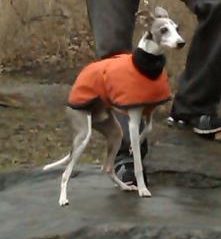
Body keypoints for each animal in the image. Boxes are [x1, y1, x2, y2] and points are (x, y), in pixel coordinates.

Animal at [43, 6, 185, 206]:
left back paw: (125, 186)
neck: (146, 66)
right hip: (83, 135)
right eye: (164, 30)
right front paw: (143, 189)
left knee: (107, 167)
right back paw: (63, 198)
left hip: (115, 133)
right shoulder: (133, 121)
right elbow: (138, 164)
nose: (181, 43)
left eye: (177, 28)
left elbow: (148, 128)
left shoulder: (148, 112)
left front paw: (134, 146)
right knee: (65, 173)